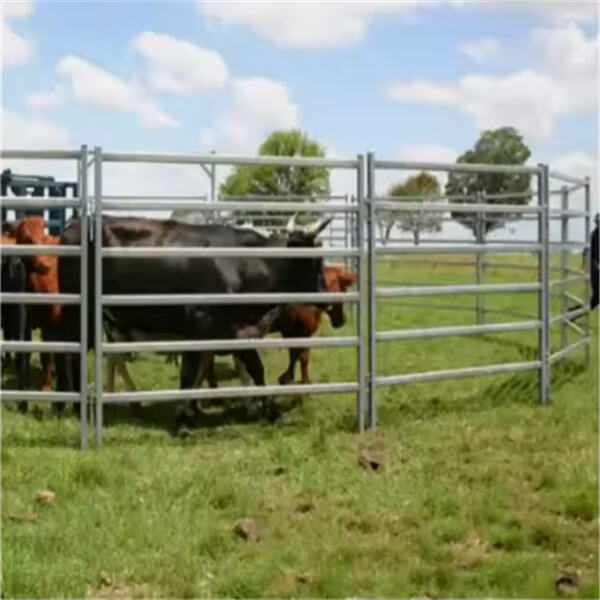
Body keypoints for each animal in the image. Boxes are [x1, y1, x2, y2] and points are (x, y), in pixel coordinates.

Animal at [55, 213, 332, 434]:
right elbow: (189, 374)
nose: (327, 298)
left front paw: (270, 412)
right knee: (69, 353)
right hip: (77, 312)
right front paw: (183, 421)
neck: (240, 265)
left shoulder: (238, 330)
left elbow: (255, 368)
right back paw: (70, 404)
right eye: (317, 260)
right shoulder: (199, 324)